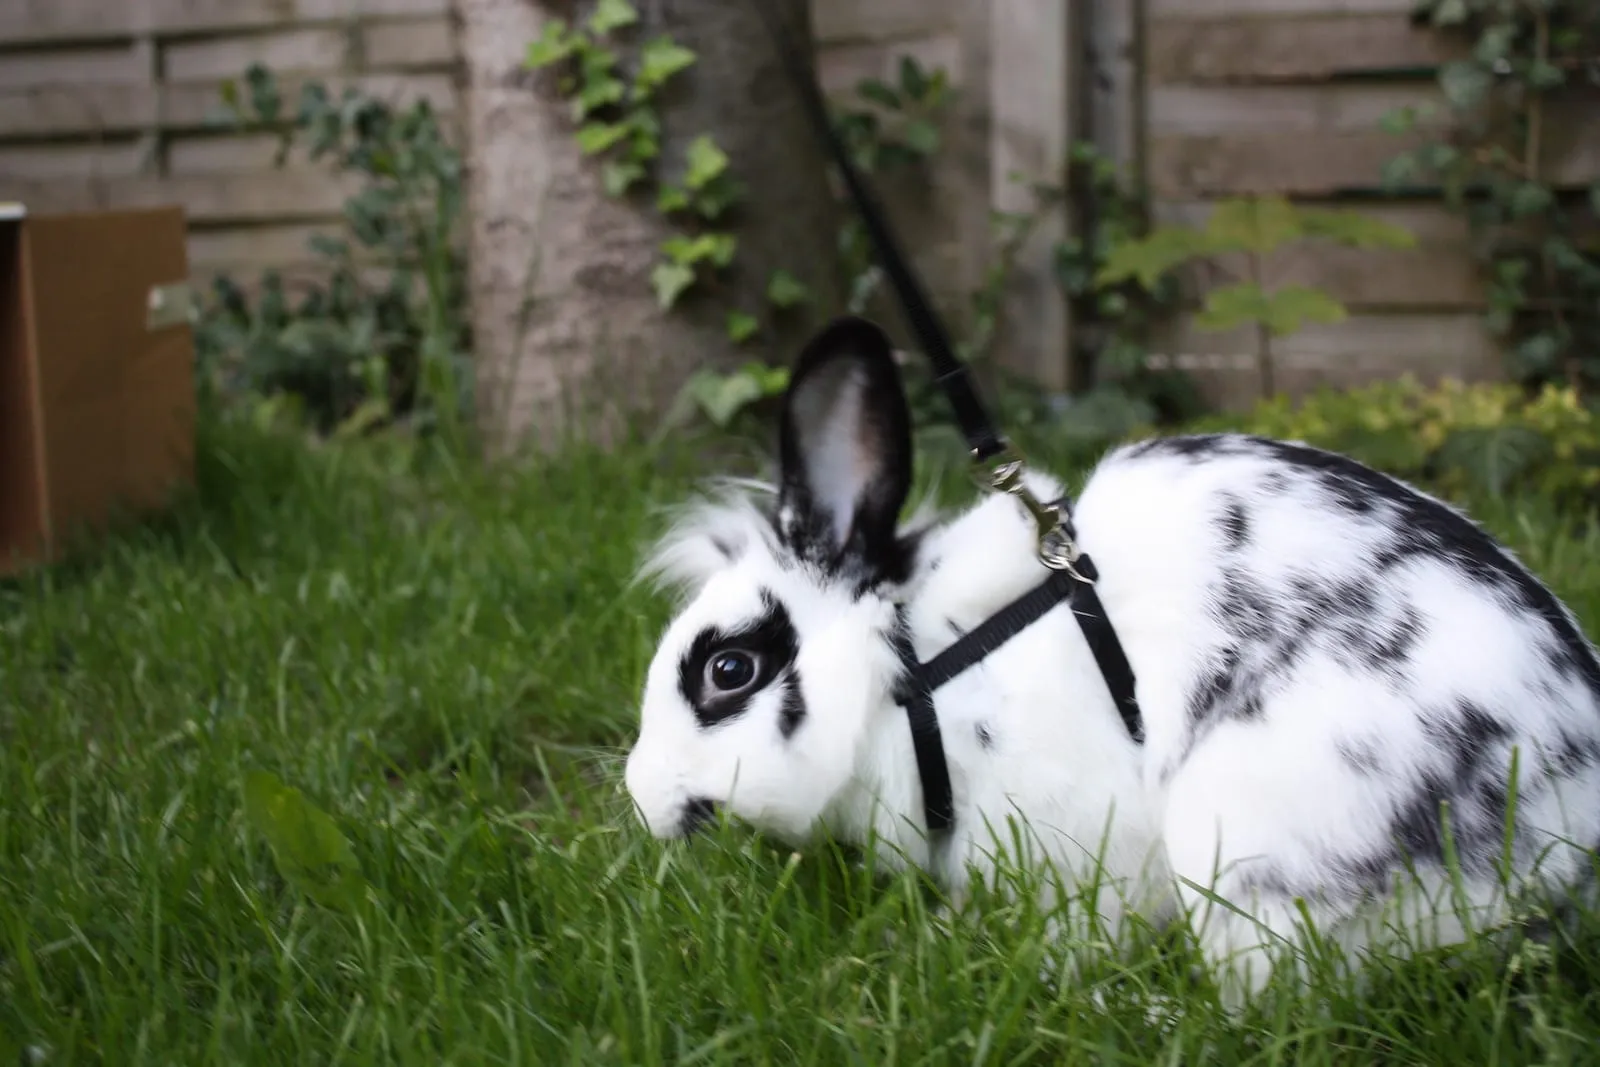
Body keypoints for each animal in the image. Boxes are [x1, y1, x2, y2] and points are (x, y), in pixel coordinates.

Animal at [622, 314, 1600, 1007]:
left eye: (728, 671)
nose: (640, 796)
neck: (916, 675)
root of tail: (1567, 865)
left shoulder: (1091, 844)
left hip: (1249, 850)